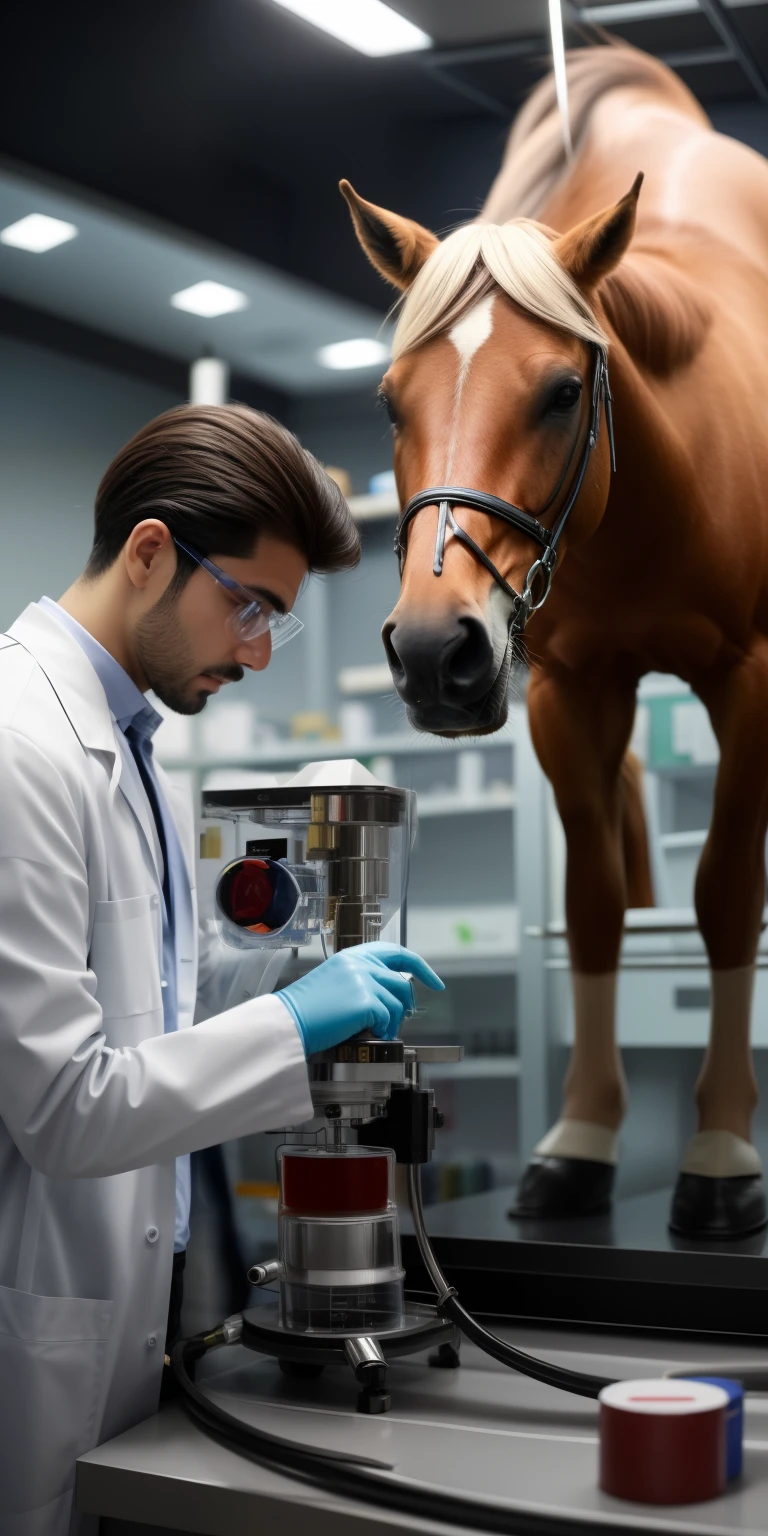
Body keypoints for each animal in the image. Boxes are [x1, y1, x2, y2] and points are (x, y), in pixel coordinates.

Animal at [342, 42, 768, 1241]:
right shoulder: (567, 694)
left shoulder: (751, 681)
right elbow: (593, 909)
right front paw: (580, 1141)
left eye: (564, 388)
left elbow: (725, 895)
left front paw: (722, 1150)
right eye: (388, 398)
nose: (432, 651)